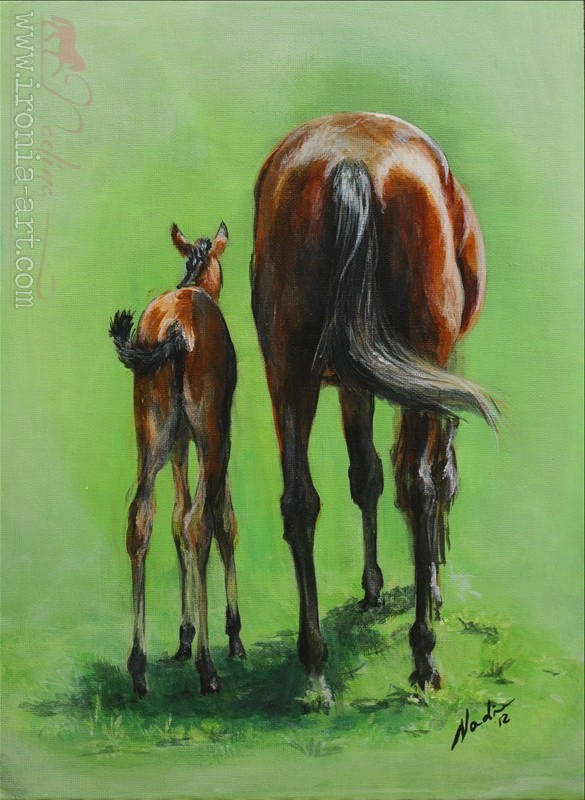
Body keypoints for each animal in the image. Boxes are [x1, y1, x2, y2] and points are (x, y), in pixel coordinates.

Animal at [109, 222, 245, 698]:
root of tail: (175, 327)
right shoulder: (217, 433)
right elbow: (221, 520)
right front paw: (232, 635)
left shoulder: (181, 444)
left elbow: (174, 517)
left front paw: (183, 637)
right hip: (207, 431)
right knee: (199, 524)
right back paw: (208, 669)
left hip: (152, 436)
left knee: (141, 518)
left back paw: (138, 666)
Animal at [251, 112, 499, 711]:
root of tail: (350, 165)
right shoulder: (439, 369)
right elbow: (434, 475)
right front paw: (429, 581)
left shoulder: (352, 384)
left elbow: (364, 475)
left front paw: (371, 588)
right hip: (419, 357)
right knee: (419, 483)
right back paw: (424, 657)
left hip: (287, 373)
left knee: (299, 501)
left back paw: (315, 668)